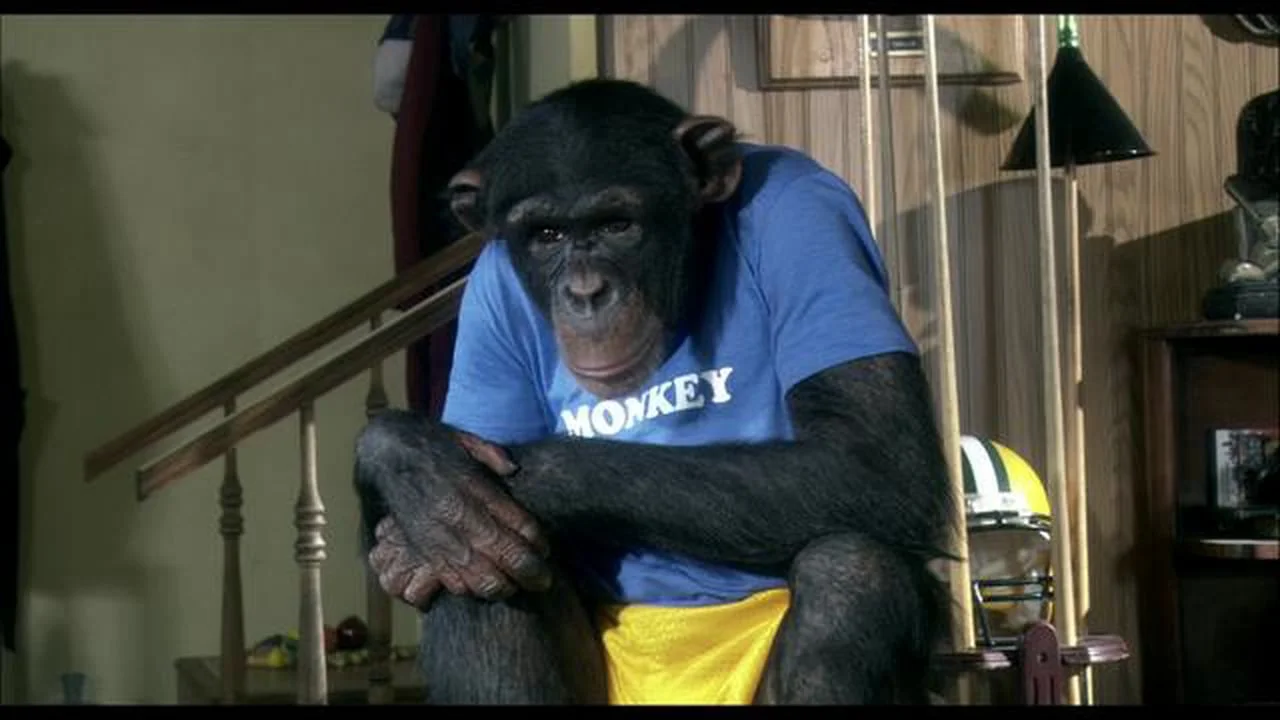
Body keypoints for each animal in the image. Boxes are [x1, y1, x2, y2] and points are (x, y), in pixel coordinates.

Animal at [354, 77, 957, 705]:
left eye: (617, 225)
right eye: (546, 235)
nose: (585, 292)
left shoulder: (810, 214)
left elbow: (873, 456)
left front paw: (456, 484)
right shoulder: (486, 298)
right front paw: (406, 462)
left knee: (852, 570)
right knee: (469, 581)